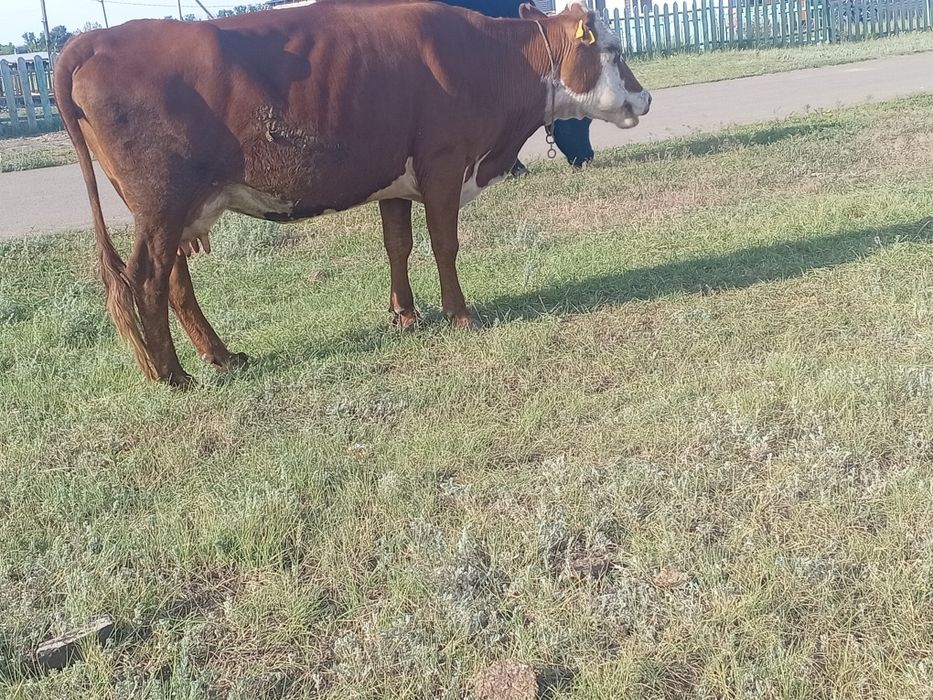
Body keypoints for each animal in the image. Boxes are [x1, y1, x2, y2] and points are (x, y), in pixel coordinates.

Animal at [55, 1, 650, 387]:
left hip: (171, 212)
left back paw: (221, 357)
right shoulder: (443, 164)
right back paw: (172, 375)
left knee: (175, 283)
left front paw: (405, 316)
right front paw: (460, 315)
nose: (644, 98)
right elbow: (444, 245)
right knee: (148, 281)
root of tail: (96, 39)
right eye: (614, 49)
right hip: (162, 204)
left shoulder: (396, 179)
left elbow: (398, 245)